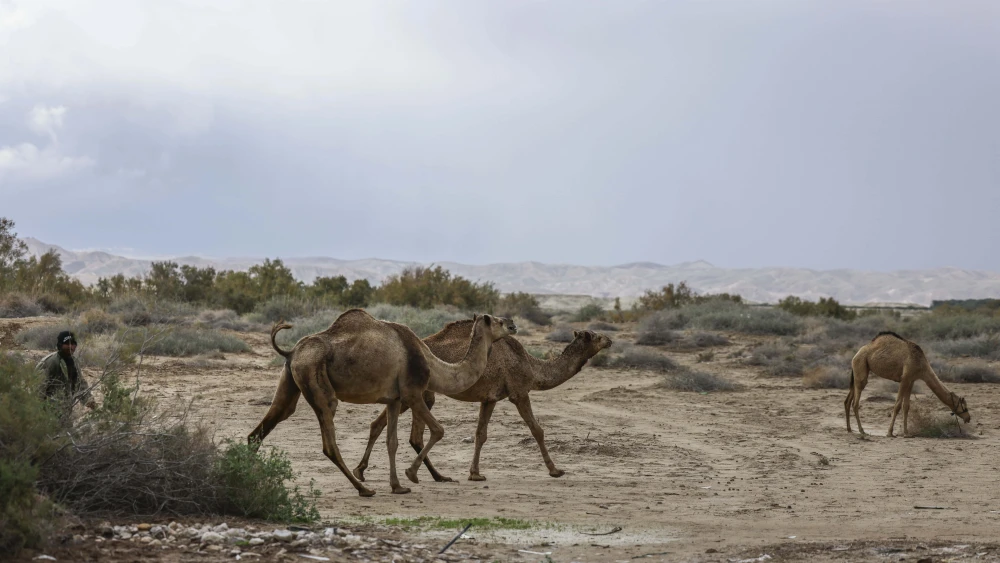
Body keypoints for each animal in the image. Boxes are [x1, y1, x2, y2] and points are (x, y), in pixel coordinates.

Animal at [247, 309, 516, 497]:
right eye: (498, 321)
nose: (513, 324)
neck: (432, 363)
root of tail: (291, 352)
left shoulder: (393, 399)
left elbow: (392, 442)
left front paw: (397, 486)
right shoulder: (412, 392)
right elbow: (439, 430)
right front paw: (412, 475)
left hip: (290, 381)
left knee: (264, 426)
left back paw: (252, 477)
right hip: (316, 380)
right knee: (329, 441)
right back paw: (364, 489)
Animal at [353, 325, 612, 482]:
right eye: (597, 336)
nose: (610, 340)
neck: (532, 366)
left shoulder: (490, 398)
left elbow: (481, 434)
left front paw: (475, 473)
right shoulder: (519, 392)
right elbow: (537, 429)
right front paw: (555, 470)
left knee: (379, 424)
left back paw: (362, 470)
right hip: (421, 392)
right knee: (412, 434)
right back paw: (428, 475)